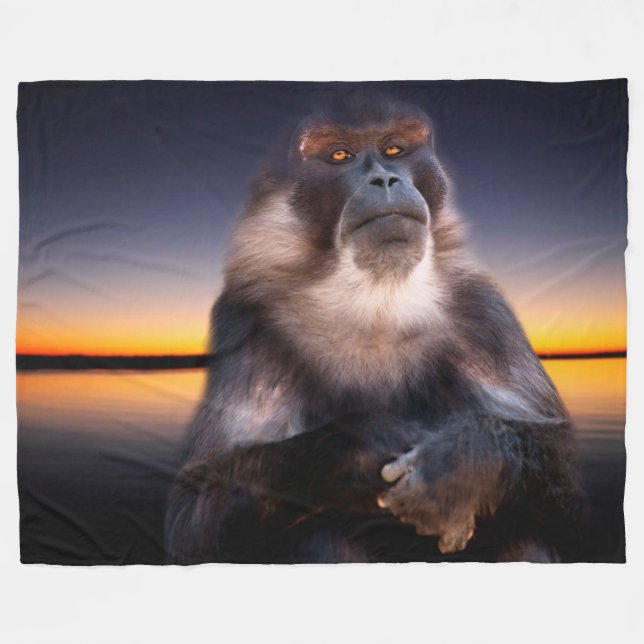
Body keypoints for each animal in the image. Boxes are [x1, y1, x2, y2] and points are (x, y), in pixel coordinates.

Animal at [164, 97, 581, 564]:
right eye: (340, 155)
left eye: (394, 149)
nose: (384, 178)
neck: (375, 305)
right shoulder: (246, 323)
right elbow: (192, 515)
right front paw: (371, 444)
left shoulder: (486, 315)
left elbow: (575, 500)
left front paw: (466, 463)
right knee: (319, 536)